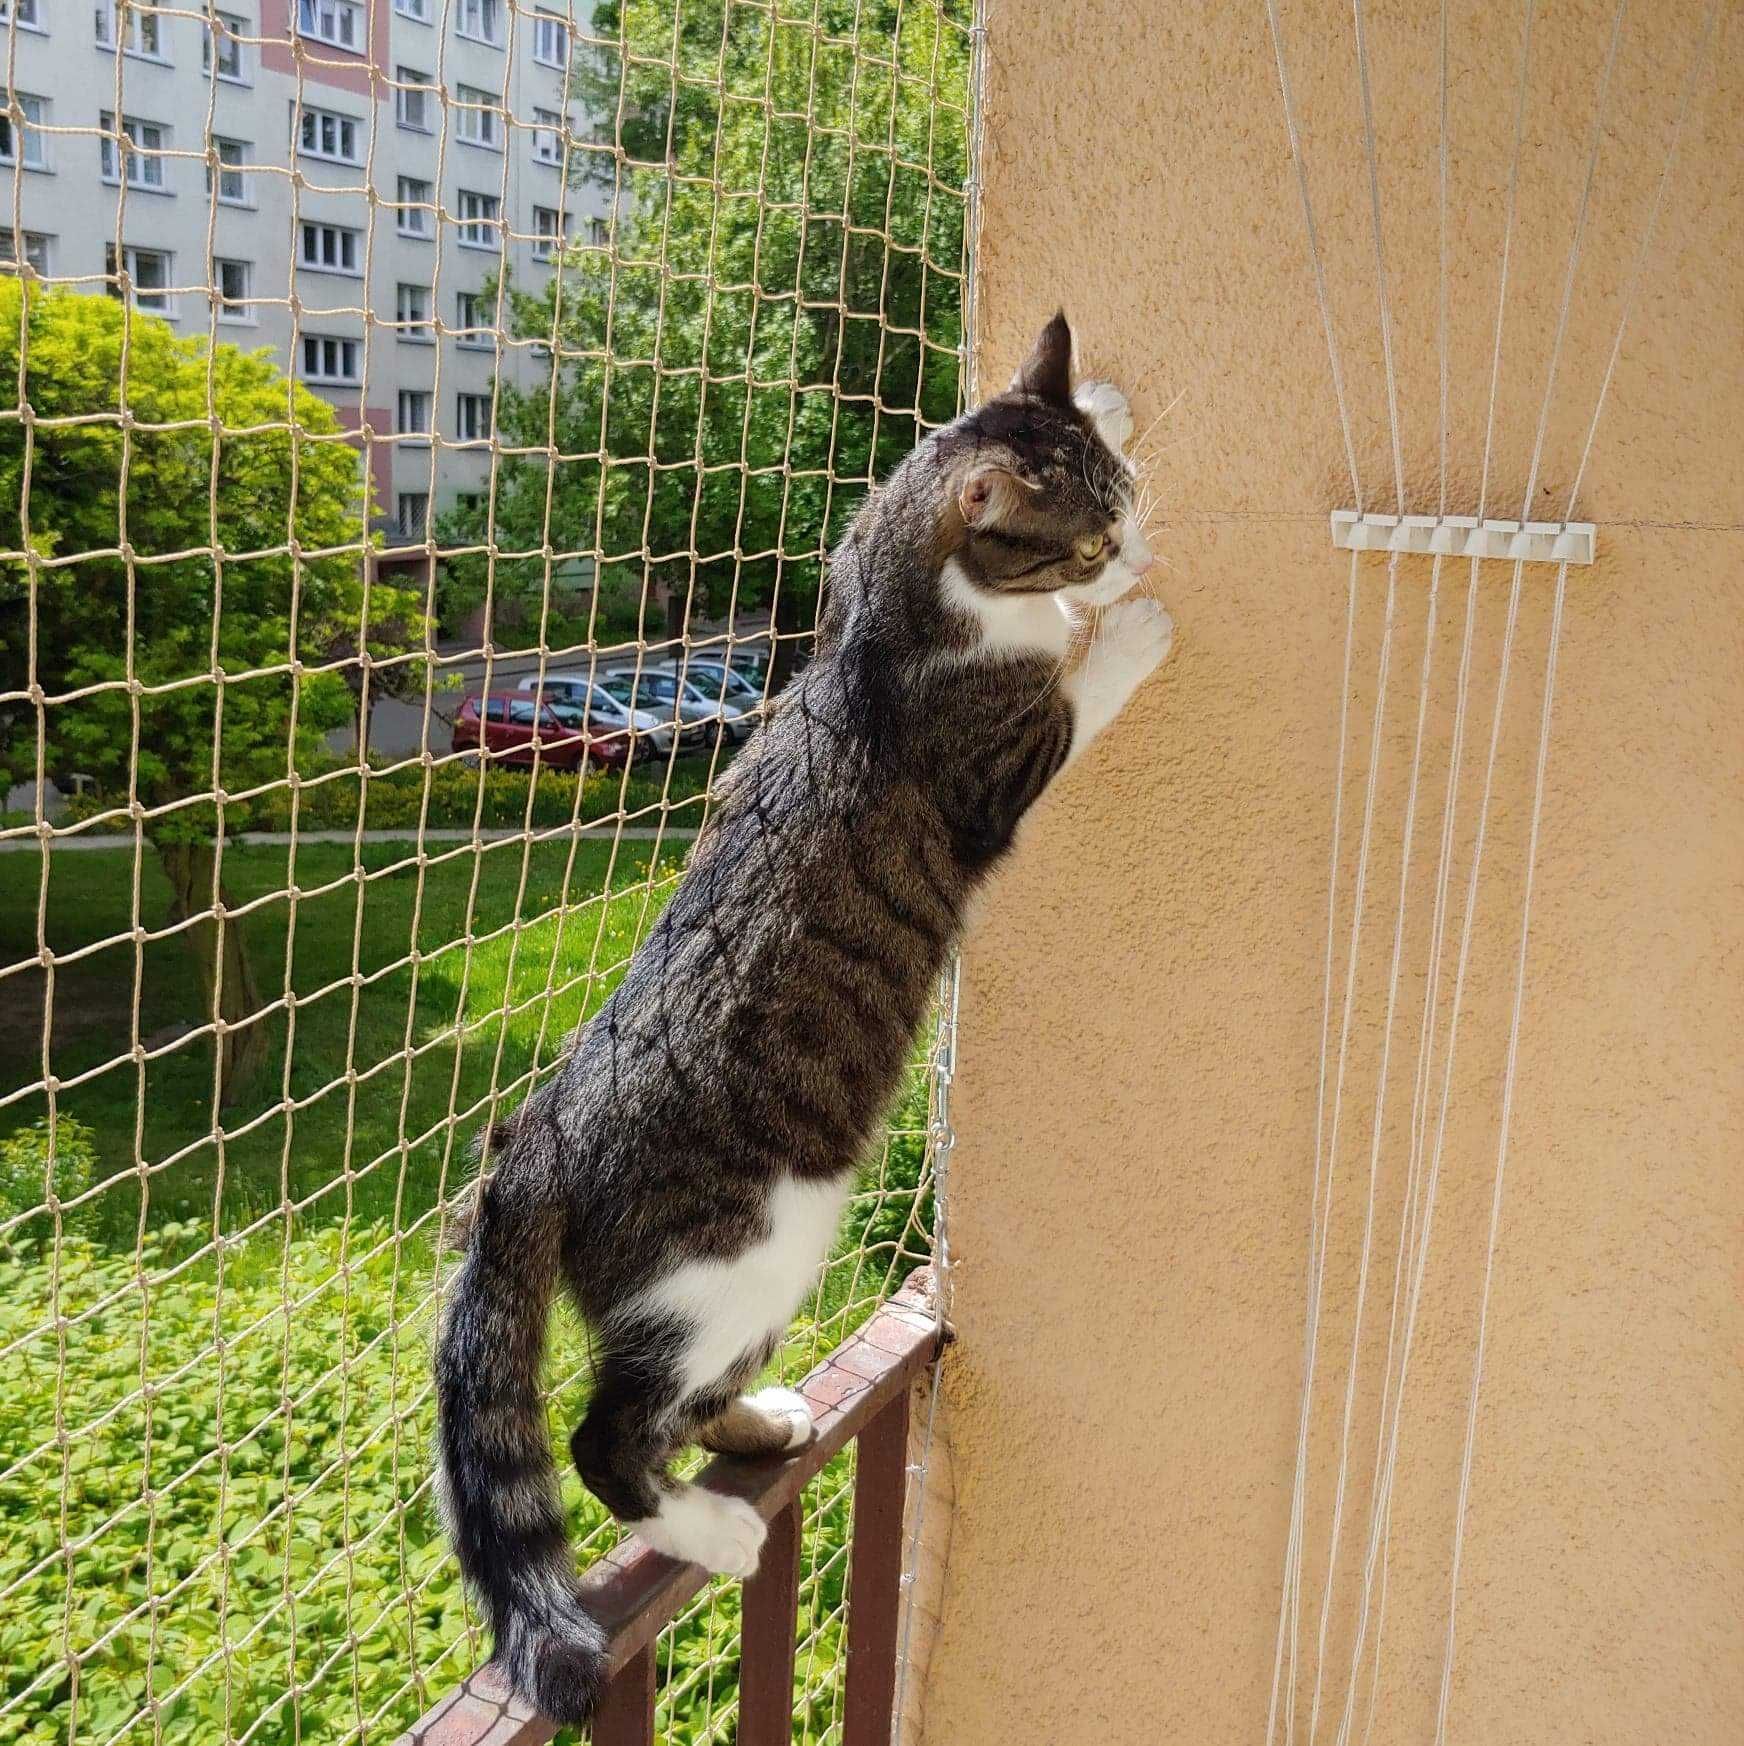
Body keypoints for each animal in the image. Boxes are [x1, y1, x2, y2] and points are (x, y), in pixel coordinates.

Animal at [431, 310, 1180, 1718]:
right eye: (1092, 538)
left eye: (1124, 502)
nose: (1139, 551)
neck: (896, 612)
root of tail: (537, 1141)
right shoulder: (998, 764)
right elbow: (1075, 691)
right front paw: (1129, 627)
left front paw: (1084, 393)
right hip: (740, 1254)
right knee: (605, 1433)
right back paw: (709, 1526)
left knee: (678, 1402)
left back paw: (760, 1424)